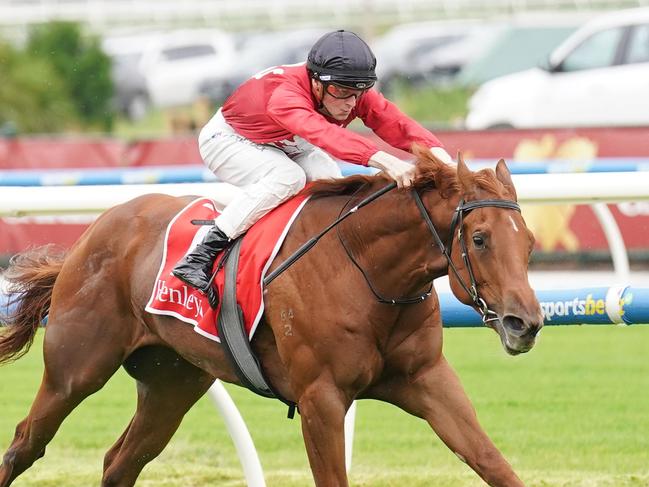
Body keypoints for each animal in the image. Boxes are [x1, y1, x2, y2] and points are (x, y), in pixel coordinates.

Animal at [0, 151, 540, 486]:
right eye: (479, 239)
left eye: (530, 242)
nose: (526, 323)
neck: (366, 270)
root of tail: (92, 232)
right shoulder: (321, 398)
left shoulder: (427, 380)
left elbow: (494, 463)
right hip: (75, 370)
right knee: (26, 442)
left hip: (171, 382)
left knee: (120, 462)